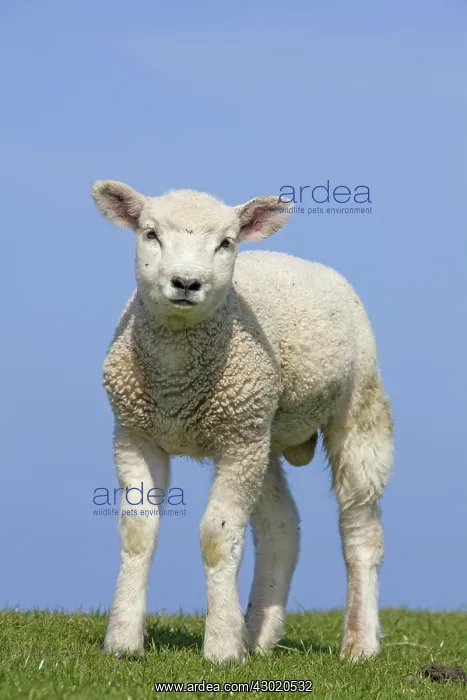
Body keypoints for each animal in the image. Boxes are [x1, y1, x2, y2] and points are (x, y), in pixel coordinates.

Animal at [91, 180, 393, 664]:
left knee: (361, 529)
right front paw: (123, 641)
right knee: (281, 530)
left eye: (226, 242)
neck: (176, 384)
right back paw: (256, 635)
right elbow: (138, 532)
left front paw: (220, 649)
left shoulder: (237, 440)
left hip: (355, 407)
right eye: (150, 233)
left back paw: (359, 643)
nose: (186, 283)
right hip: (262, 434)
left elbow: (217, 537)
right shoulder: (134, 434)